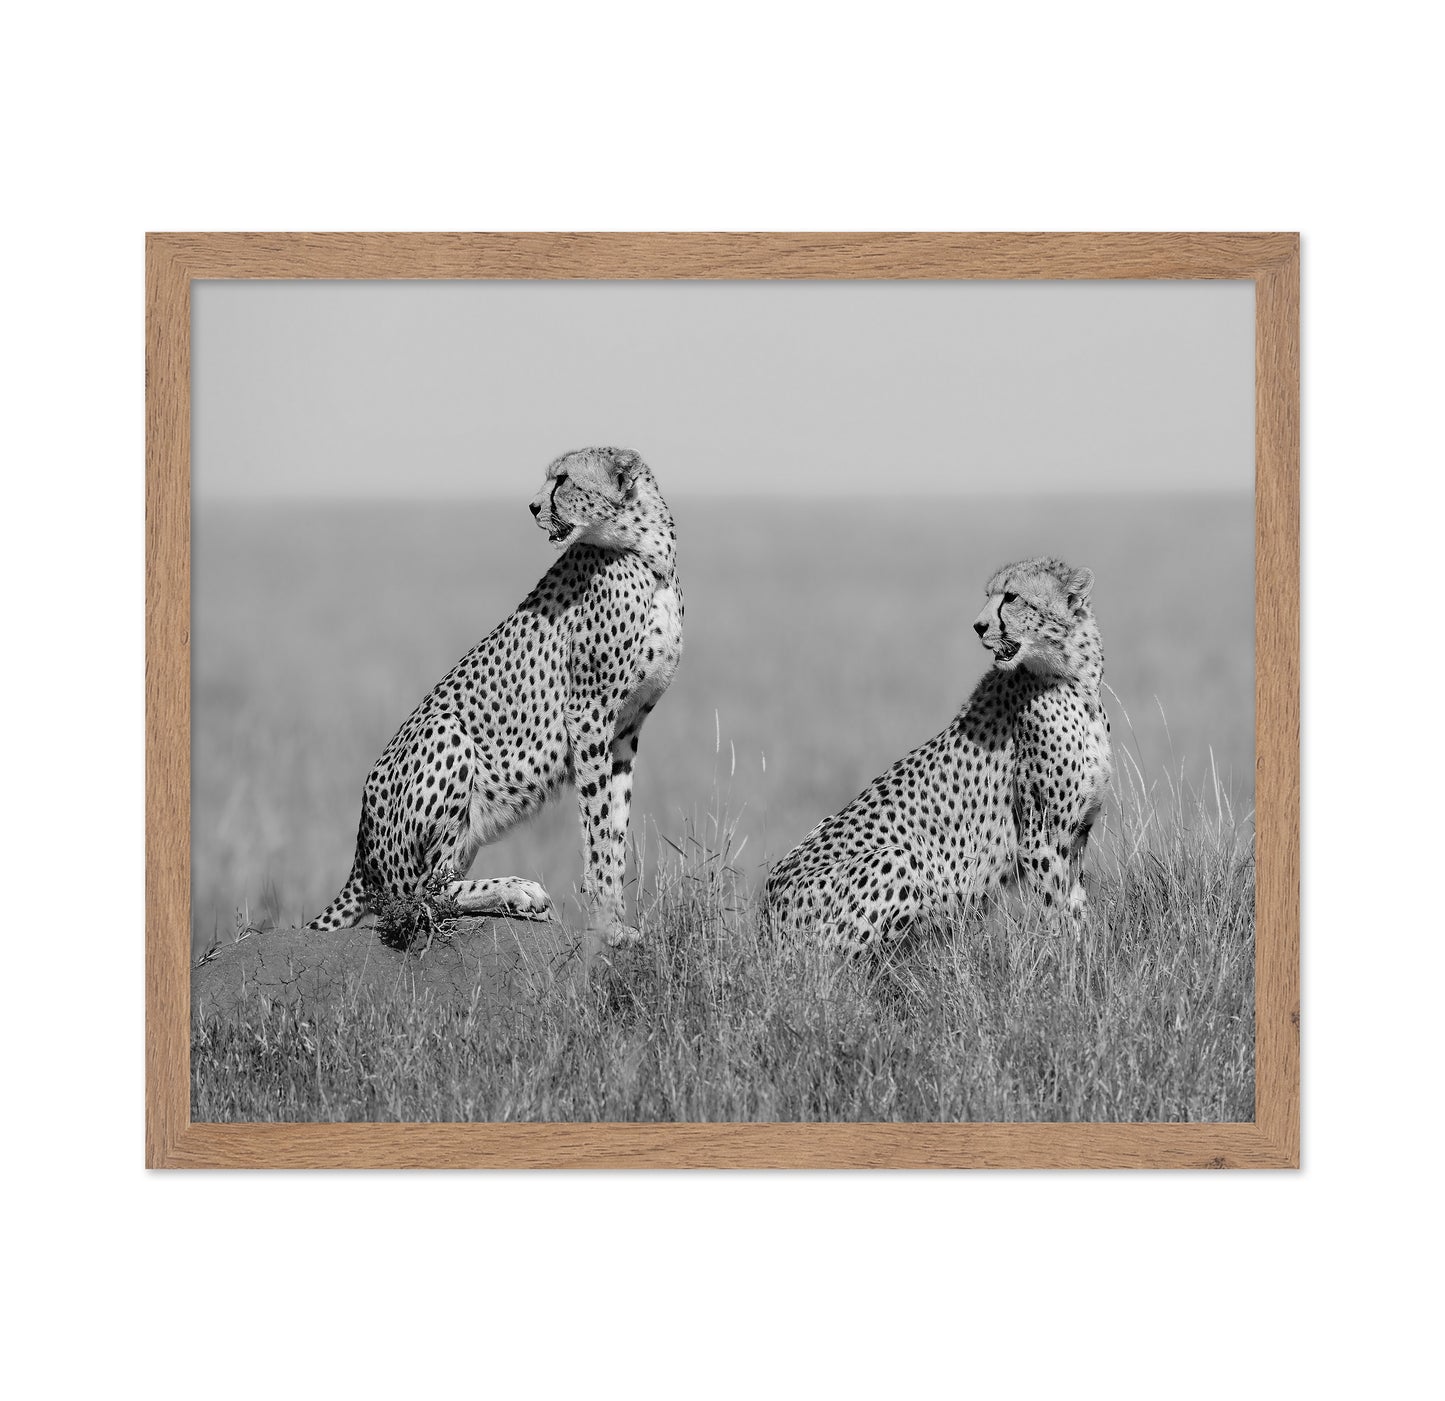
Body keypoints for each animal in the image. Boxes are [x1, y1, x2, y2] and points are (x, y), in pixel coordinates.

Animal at [306, 447, 683, 966]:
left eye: (563, 479)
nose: (532, 506)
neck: (648, 552)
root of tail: (360, 852)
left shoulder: (626, 729)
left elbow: (614, 827)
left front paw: (618, 921)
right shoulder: (588, 714)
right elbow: (597, 828)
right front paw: (608, 925)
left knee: (432, 886)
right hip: (446, 731)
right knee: (418, 895)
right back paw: (518, 891)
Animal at [762, 556, 1111, 953]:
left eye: (1011, 597)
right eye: (989, 595)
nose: (978, 626)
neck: (1076, 679)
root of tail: (767, 912)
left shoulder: (1077, 834)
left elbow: (1076, 906)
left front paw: (1085, 955)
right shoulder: (1041, 839)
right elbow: (1057, 912)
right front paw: (1065, 959)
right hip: (895, 860)